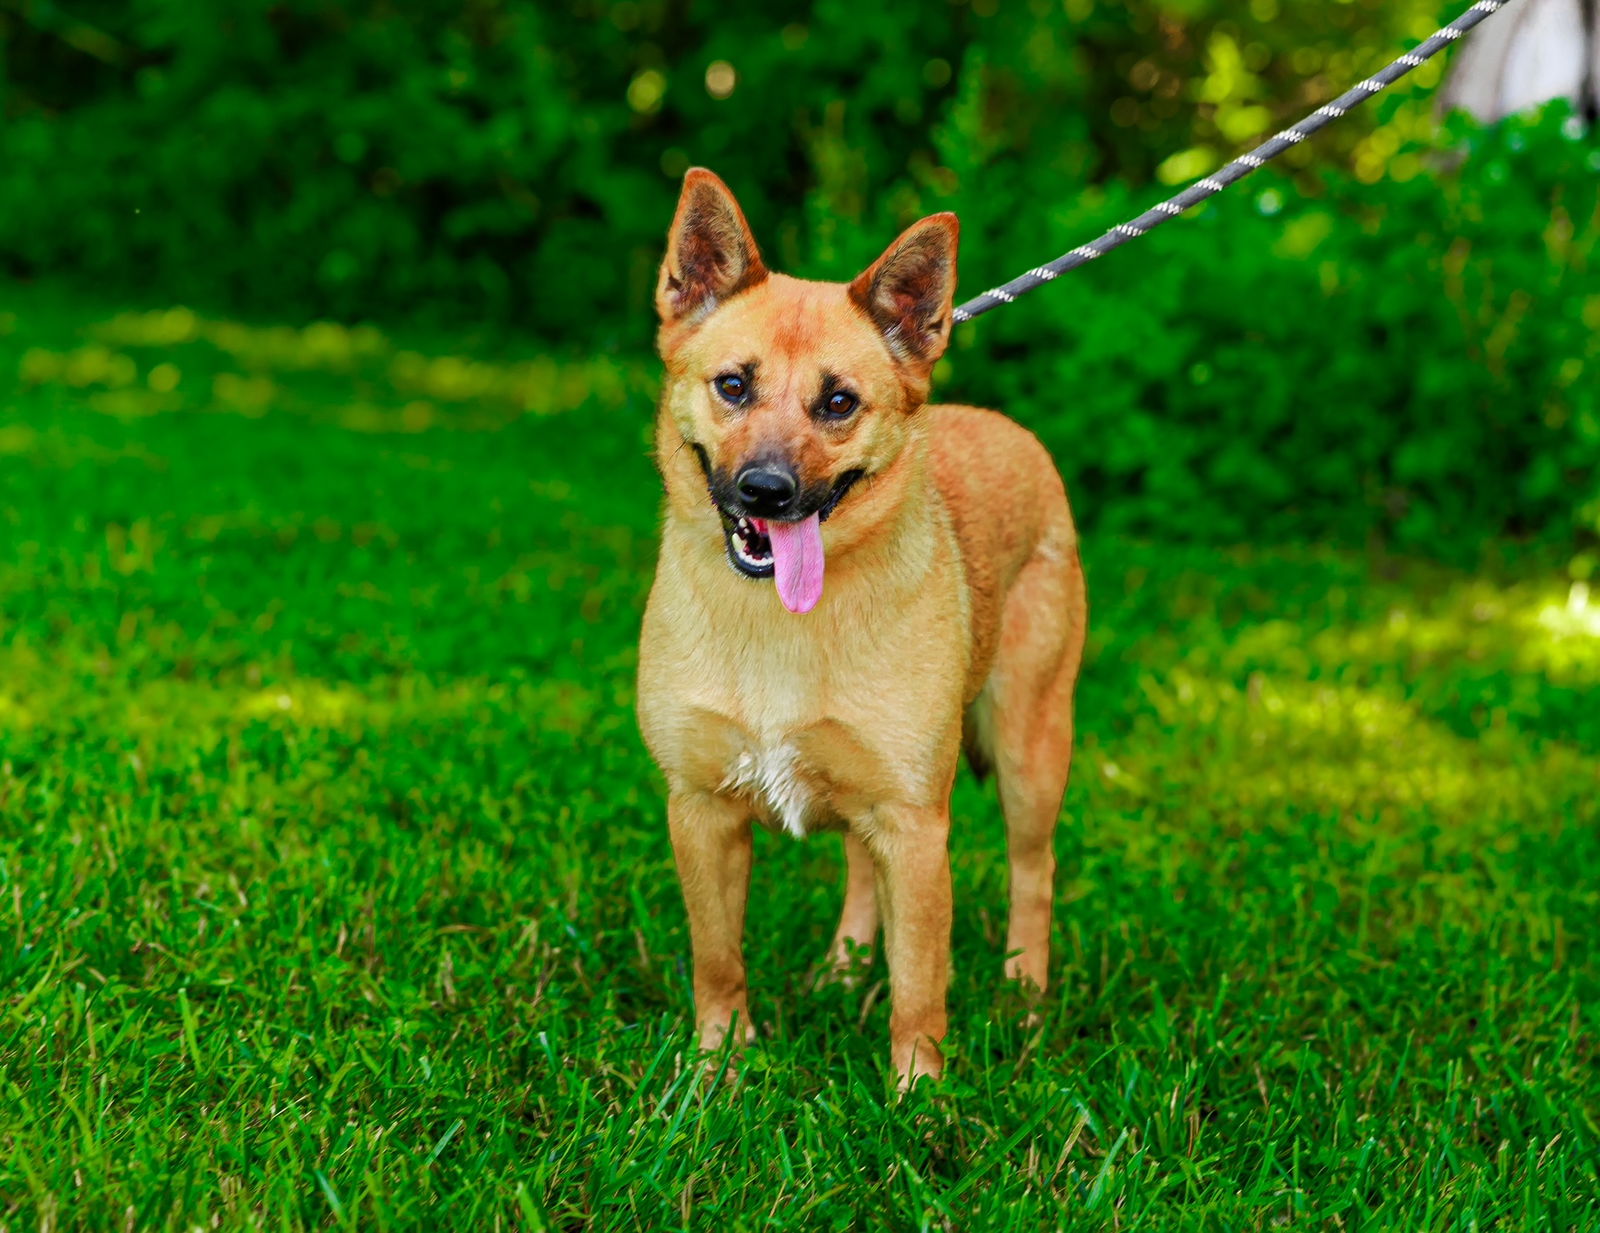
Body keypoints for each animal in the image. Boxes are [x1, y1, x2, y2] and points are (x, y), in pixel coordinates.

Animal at [636, 168, 1088, 1087]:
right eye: (732, 385)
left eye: (839, 402)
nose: (766, 491)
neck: (777, 621)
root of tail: (1007, 425)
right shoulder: (700, 810)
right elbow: (717, 958)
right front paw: (717, 1069)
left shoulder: (914, 826)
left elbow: (920, 985)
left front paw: (918, 1097)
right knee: (855, 866)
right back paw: (843, 971)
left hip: (1029, 751)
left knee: (1034, 871)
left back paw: (1024, 997)